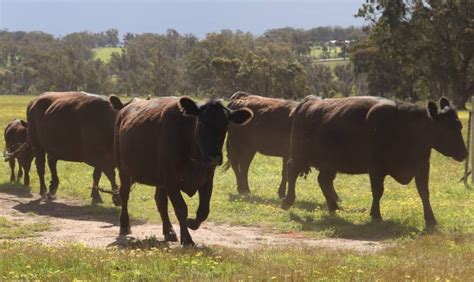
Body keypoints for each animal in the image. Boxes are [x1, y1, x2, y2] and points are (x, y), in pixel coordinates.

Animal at [115, 96, 254, 245]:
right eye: (202, 123)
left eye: (226, 125)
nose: (214, 158)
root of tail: (124, 109)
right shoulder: (171, 180)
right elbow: (181, 208)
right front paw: (187, 238)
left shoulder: (207, 179)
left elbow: (203, 210)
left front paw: (191, 223)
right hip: (123, 169)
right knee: (124, 195)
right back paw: (124, 226)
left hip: (160, 179)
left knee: (160, 201)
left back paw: (169, 231)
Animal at [284, 96, 468, 227]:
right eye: (447, 128)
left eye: (459, 126)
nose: (465, 153)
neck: (405, 127)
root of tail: (307, 102)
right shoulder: (376, 169)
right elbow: (378, 191)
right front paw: (376, 215)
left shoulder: (422, 166)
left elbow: (424, 192)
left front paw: (430, 219)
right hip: (299, 155)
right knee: (292, 172)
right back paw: (287, 201)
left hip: (329, 164)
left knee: (323, 180)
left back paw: (334, 207)